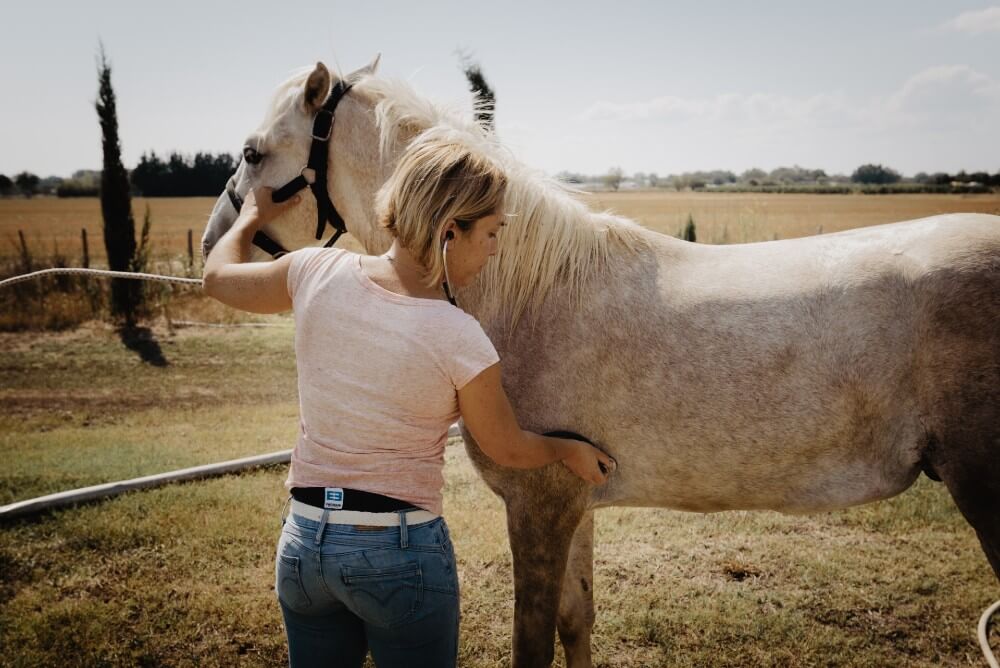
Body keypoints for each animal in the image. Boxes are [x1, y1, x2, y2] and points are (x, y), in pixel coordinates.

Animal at [203, 60, 1000, 664]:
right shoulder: (577, 505)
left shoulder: (538, 508)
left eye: (252, 152)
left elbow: (532, 639)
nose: (215, 241)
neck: (528, 291)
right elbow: (575, 621)